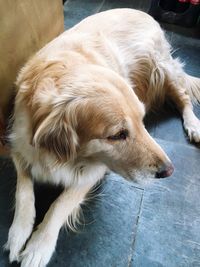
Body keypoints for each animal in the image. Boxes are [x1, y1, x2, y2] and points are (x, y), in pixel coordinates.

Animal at [4, 8, 200, 267]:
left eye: (142, 120)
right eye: (118, 135)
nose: (168, 170)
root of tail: (142, 12)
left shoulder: (95, 169)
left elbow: (60, 204)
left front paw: (38, 247)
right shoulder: (18, 143)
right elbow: (23, 190)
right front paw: (18, 234)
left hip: (163, 70)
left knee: (183, 97)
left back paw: (194, 125)